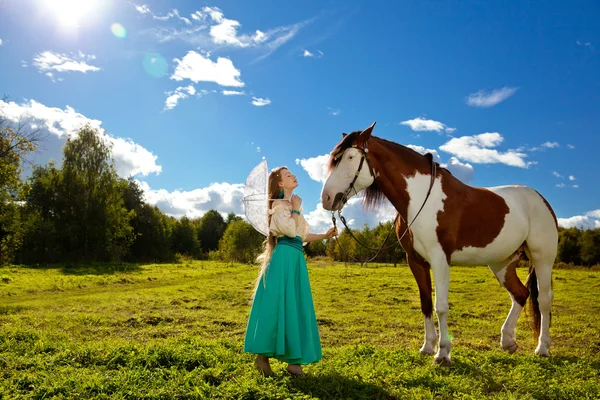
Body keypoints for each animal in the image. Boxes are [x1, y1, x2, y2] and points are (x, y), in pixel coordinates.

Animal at [322, 121, 560, 366]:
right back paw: (508, 341)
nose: (327, 198)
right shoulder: (416, 261)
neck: (420, 200)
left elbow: (441, 306)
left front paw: (443, 352)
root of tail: (540, 199)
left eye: (350, 157)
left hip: (542, 258)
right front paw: (428, 347)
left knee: (544, 300)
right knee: (520, 294)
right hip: (501, 263)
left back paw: (542, 348)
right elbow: (426, 303)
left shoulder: (440, 259)